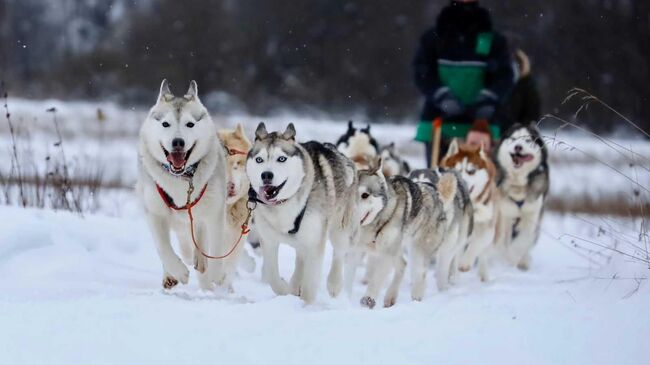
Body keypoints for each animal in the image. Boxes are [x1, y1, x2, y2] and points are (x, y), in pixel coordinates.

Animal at [135, 79, 227, 288]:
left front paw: (215, 274)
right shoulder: (154, 213)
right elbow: (162, 247)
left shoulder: (214, 214)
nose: (178, 142)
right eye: (165, 124)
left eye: (190, 124)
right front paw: (177, 271)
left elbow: (216, 247)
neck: (181, 178)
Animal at [248, 122, 360, 302]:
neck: (284, 204)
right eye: (259, 159)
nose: (266, 175)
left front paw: (305, 305)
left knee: (338, 253)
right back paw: (294, 285)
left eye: (281, 158)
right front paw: (284, 290)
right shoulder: (269, 240)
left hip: (339, 229)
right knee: (301, 259)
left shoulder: (315, 242)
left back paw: (334, 284)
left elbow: (310, 285)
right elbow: (272, 276)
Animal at [354, 158, 460, 306]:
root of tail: (437, 193)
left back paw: (416, 297)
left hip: (418, 249)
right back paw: (391, 296)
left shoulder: (386, 253)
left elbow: (375, 281)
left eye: (365, 195)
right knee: (403, 265)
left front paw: (367, 301)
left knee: (420, 272)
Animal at [440, 140, 496, 282]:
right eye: (456, 170)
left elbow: (477, 243)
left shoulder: (487, 224)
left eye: (471, 171)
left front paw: (465, 263)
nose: (462, 181)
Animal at [496, 123, 548, 268]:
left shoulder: (531, 215)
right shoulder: (505, 215)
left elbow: (523, 240)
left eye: (528, 140)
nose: (518, 147)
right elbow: (503, 240)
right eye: (513, 139)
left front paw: (515, 257)